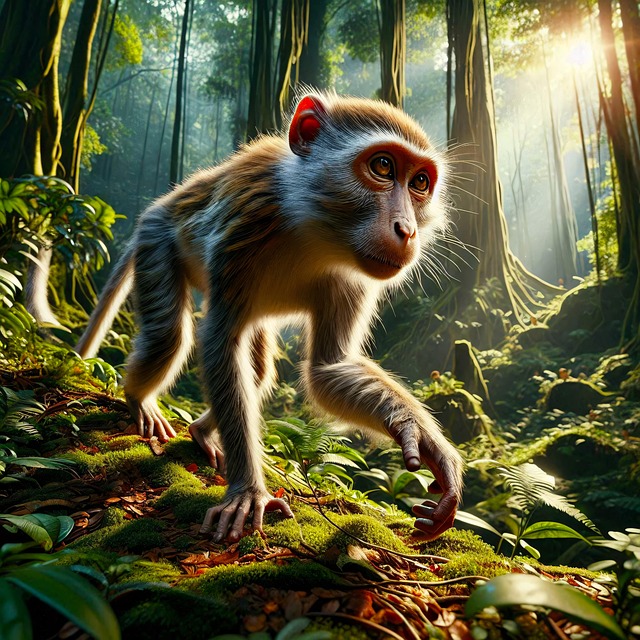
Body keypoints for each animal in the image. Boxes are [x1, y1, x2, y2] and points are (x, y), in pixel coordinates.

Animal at [70, 91, 464, 543]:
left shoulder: (352, 276)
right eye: (383, 166)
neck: (313, 227)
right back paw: (138, 400)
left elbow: (328, 368)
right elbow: (220, 342)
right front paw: (246, 493)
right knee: (168, 338)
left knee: (257, 369)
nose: (407, 230)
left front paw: (424, 439)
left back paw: (201, 430)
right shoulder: (246, 221)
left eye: (420, 183)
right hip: (155, 240)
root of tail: (155, 210)